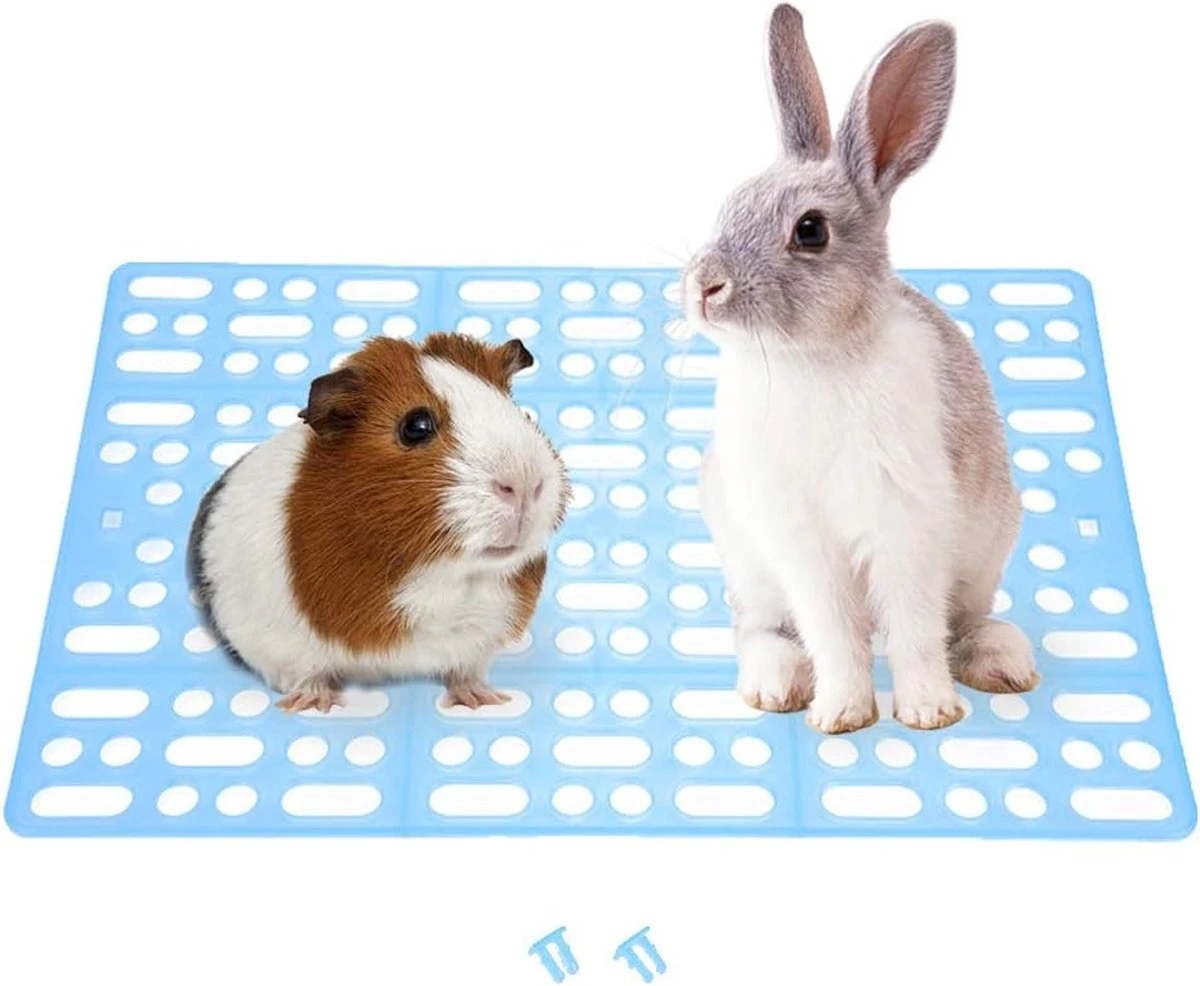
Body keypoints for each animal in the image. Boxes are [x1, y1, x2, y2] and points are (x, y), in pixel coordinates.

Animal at [187, 333, 569, 712]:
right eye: (416, 427)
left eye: (520, 412)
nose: (525, 484)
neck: (441, 577)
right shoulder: (280, 645)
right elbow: (309, 674)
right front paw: (316, 705)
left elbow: (466, 671)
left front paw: (483, 700)